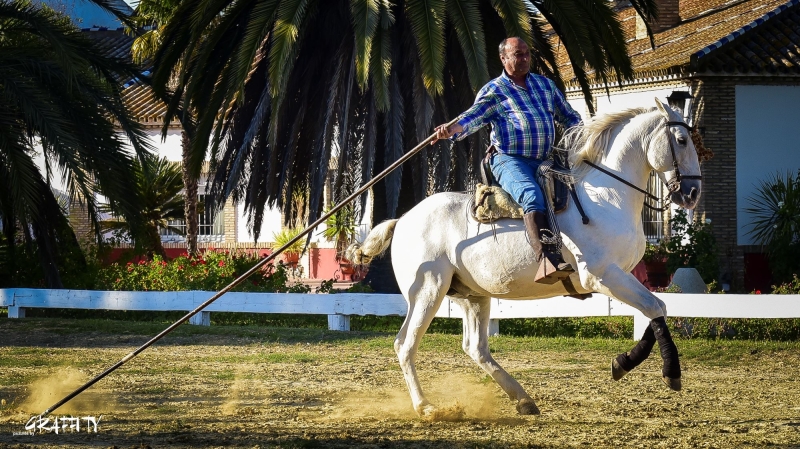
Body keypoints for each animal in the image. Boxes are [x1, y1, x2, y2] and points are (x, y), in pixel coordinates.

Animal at [348, 100, 700, 418]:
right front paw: (668, 372)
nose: (693, 193)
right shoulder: (603, 276)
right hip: (427, 291)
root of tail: (403, 219)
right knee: (406, 344)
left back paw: (523, 399)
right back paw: (426, 407)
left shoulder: (624, 277)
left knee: (475, 348)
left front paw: (623, 363)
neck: (605, 196)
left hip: (471, 295)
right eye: (682, 140)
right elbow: (655, 308)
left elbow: (656, 310)